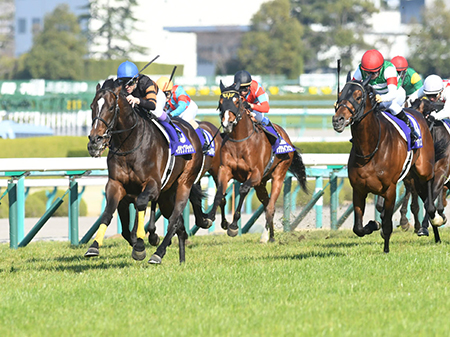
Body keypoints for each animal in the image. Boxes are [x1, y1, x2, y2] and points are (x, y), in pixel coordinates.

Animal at [85, 80, 204, 264]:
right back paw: (181, 258)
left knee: (174, 220)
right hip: (166, 195)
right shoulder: (116, 185)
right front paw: (94, 246)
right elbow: (108, 214)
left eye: (111, 107)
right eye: (92, 106)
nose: (94, 141)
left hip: (184, 184)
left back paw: (158, 253)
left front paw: (140, 246)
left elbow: (141, 204)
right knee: (178, 224)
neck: (130, 145)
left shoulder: (152, 185)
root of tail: (192, 131)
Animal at [206, 82, 308, 243]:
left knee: (271, 207)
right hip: (261, 184)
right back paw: (270, 236)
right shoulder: (225, 170)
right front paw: (209, 218)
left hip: (278, 175)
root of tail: (287, 137)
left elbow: (242, 190)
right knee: (266, 205)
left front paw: (233, 226)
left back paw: (266, 237)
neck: (240, 142)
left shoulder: (255, 174)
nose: (227, 123)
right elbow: (219, 194)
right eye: (221, 102)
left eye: (237, 101)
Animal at [332, 77, 442, 252]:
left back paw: (434, 217)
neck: (369, 149)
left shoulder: (390, 189)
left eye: (358, 96)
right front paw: (373, 224)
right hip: (412, 175)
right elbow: (358, 228)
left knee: (429, 186)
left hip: (423, 167)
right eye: (340, 94)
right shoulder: (358, 189)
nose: (338, 120)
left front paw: (386, 250)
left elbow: (388, 223)